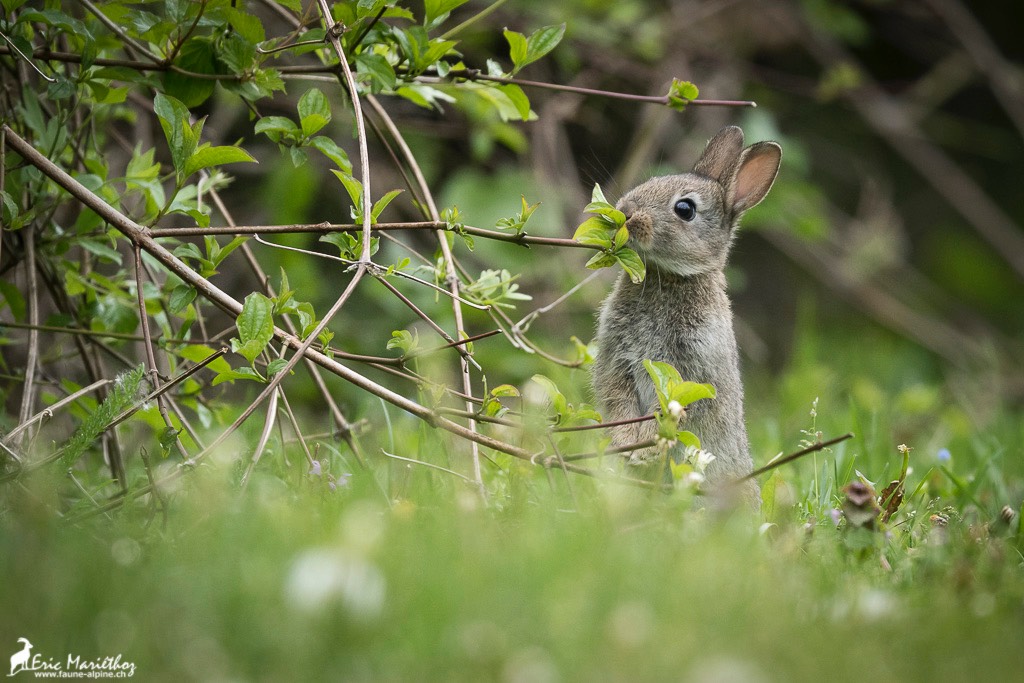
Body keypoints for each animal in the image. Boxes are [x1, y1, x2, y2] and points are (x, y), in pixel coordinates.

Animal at [589, 125, 778, 505]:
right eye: (651, 181)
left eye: (685, 209)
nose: (625, 211)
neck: (671, 277)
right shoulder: (616, 359)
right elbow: (618, 400)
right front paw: (626, 444)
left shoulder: (692, 367)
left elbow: (671, 409)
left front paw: (644, 450)